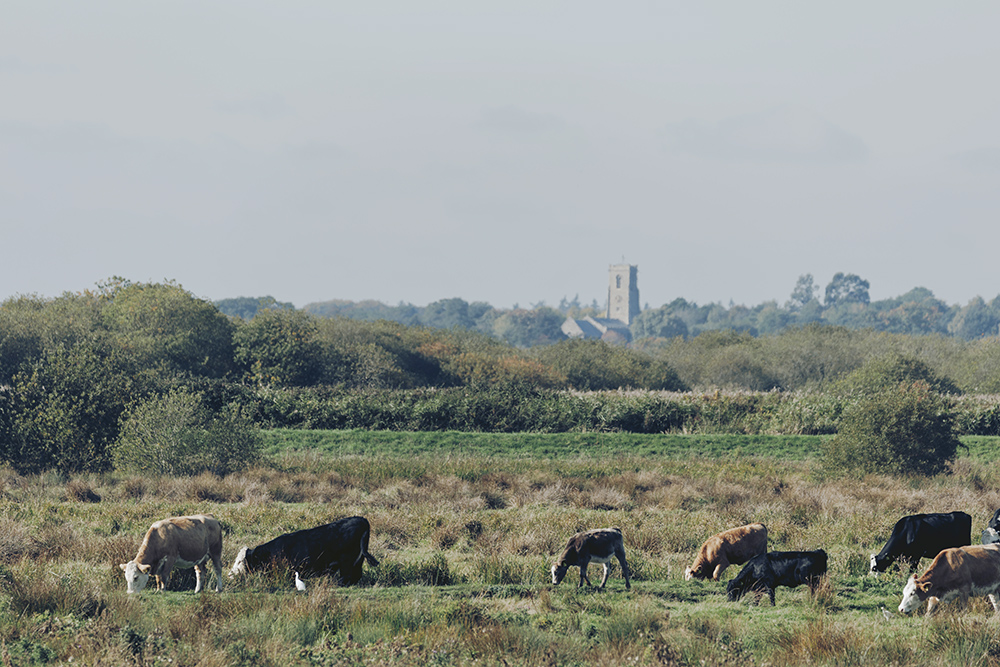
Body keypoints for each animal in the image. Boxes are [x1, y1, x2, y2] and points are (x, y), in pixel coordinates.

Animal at [229, 516, 379, 586]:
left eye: (239, 562)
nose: (230, 574)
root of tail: (361, 519)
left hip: (346, 561)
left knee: (347, 576)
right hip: (358, 560)